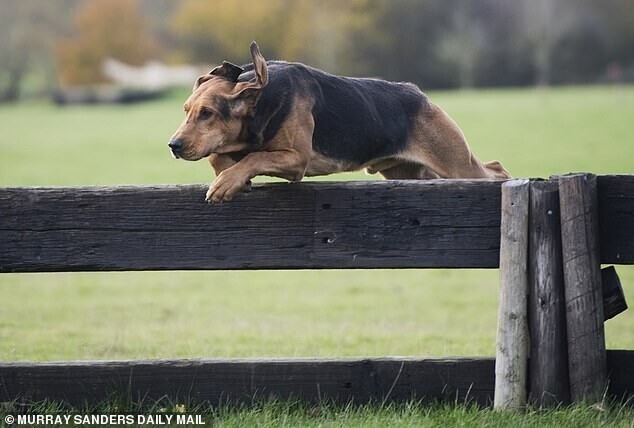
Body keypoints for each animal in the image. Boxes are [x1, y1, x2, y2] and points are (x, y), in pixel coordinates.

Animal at [168, 41, 508, 202]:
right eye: (186, 111)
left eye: (207, 113)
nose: (174, 145)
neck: (260, 103)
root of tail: (420, 95)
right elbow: (221, 156)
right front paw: (229, 175)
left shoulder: (296, 159)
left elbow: (255, 157)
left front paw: (227, 181)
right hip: (413, 173)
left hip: (456, 162)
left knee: (496, 170)